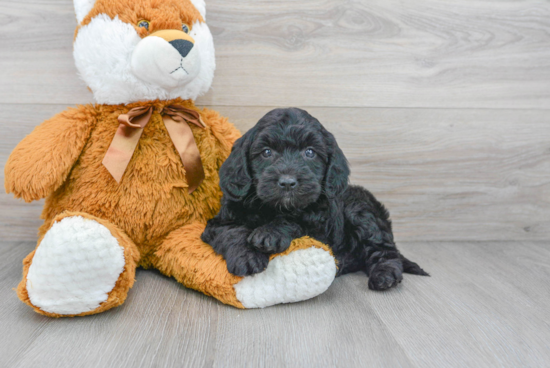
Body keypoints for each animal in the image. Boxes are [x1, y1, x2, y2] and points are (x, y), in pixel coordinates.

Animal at [204, 108, 432, 288]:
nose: (287, 182)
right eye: (266, 152)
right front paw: (247, 256)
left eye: (310, 152)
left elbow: (295, 221)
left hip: (361, 212)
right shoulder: (218, 222)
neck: (273, 208)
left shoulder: (321, 228)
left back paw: (384, 275)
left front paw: (270, 233)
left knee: (384, 251)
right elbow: (232, 231)